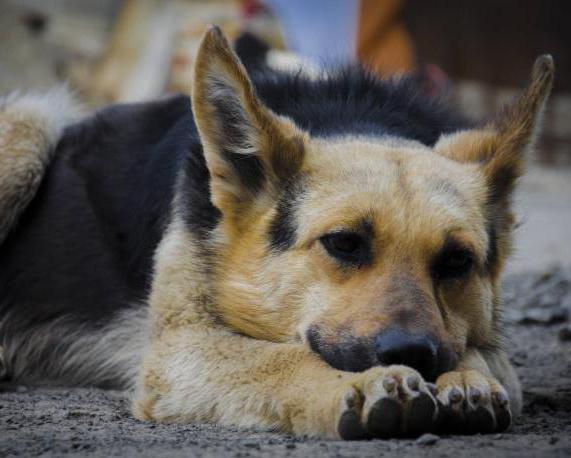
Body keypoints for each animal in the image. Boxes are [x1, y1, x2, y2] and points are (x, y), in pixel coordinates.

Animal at [0, 26, 556, 440]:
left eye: (458, 261)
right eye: (343, 243)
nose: (412, 356)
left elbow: (484, 354)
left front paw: (469, 379)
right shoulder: (182, 347)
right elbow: (282, 357)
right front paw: (362, 386)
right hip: (30, 125)